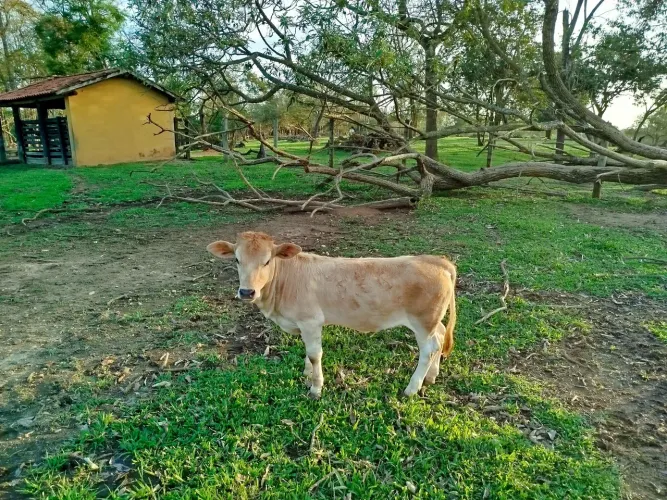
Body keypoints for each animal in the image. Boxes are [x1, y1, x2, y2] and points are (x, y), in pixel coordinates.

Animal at [207, 231, 456, 399]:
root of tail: (436, 260)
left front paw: (316, 387)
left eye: (267, 260)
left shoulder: (311, 321)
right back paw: (431, 376)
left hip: (422, 321)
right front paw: (307, 374)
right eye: (237, 259)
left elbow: (314, 354)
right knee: (440, 337)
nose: (246, 292)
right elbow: (308, 353)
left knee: (429, 349)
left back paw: (412, 388)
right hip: (432, 321)